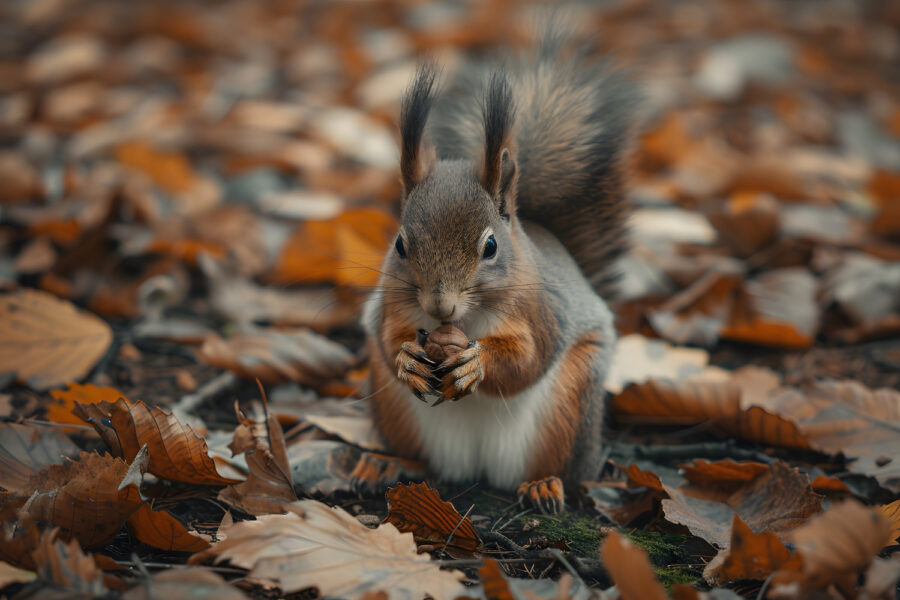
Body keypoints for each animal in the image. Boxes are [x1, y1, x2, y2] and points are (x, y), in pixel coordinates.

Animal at [362, 32, 636, 512]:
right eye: (399, 245)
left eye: (490, 247)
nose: (440, 305)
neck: (465, 321)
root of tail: (476, 467)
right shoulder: (391, 304)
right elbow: (387, 333)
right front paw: (407, 358)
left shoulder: (542, 310)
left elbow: (528, 358)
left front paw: (478, 362)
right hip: (395, 412)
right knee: (415, 455)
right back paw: (386, 463)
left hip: (571, 405)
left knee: (560, 467)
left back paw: (544, 485)